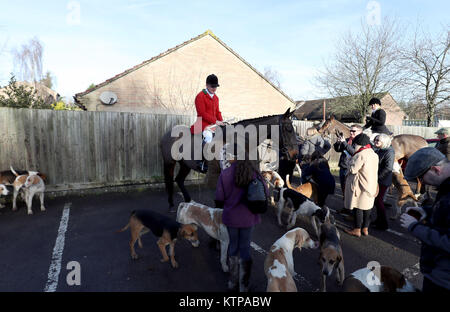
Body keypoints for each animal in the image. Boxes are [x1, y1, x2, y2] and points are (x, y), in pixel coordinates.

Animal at [160, 108, 300, 211]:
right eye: (288, 129)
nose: (295, 155)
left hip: (185, 165)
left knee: (179, 180)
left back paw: (188, 201)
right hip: (170, 163)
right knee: (170, 180)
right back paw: (171, 204)